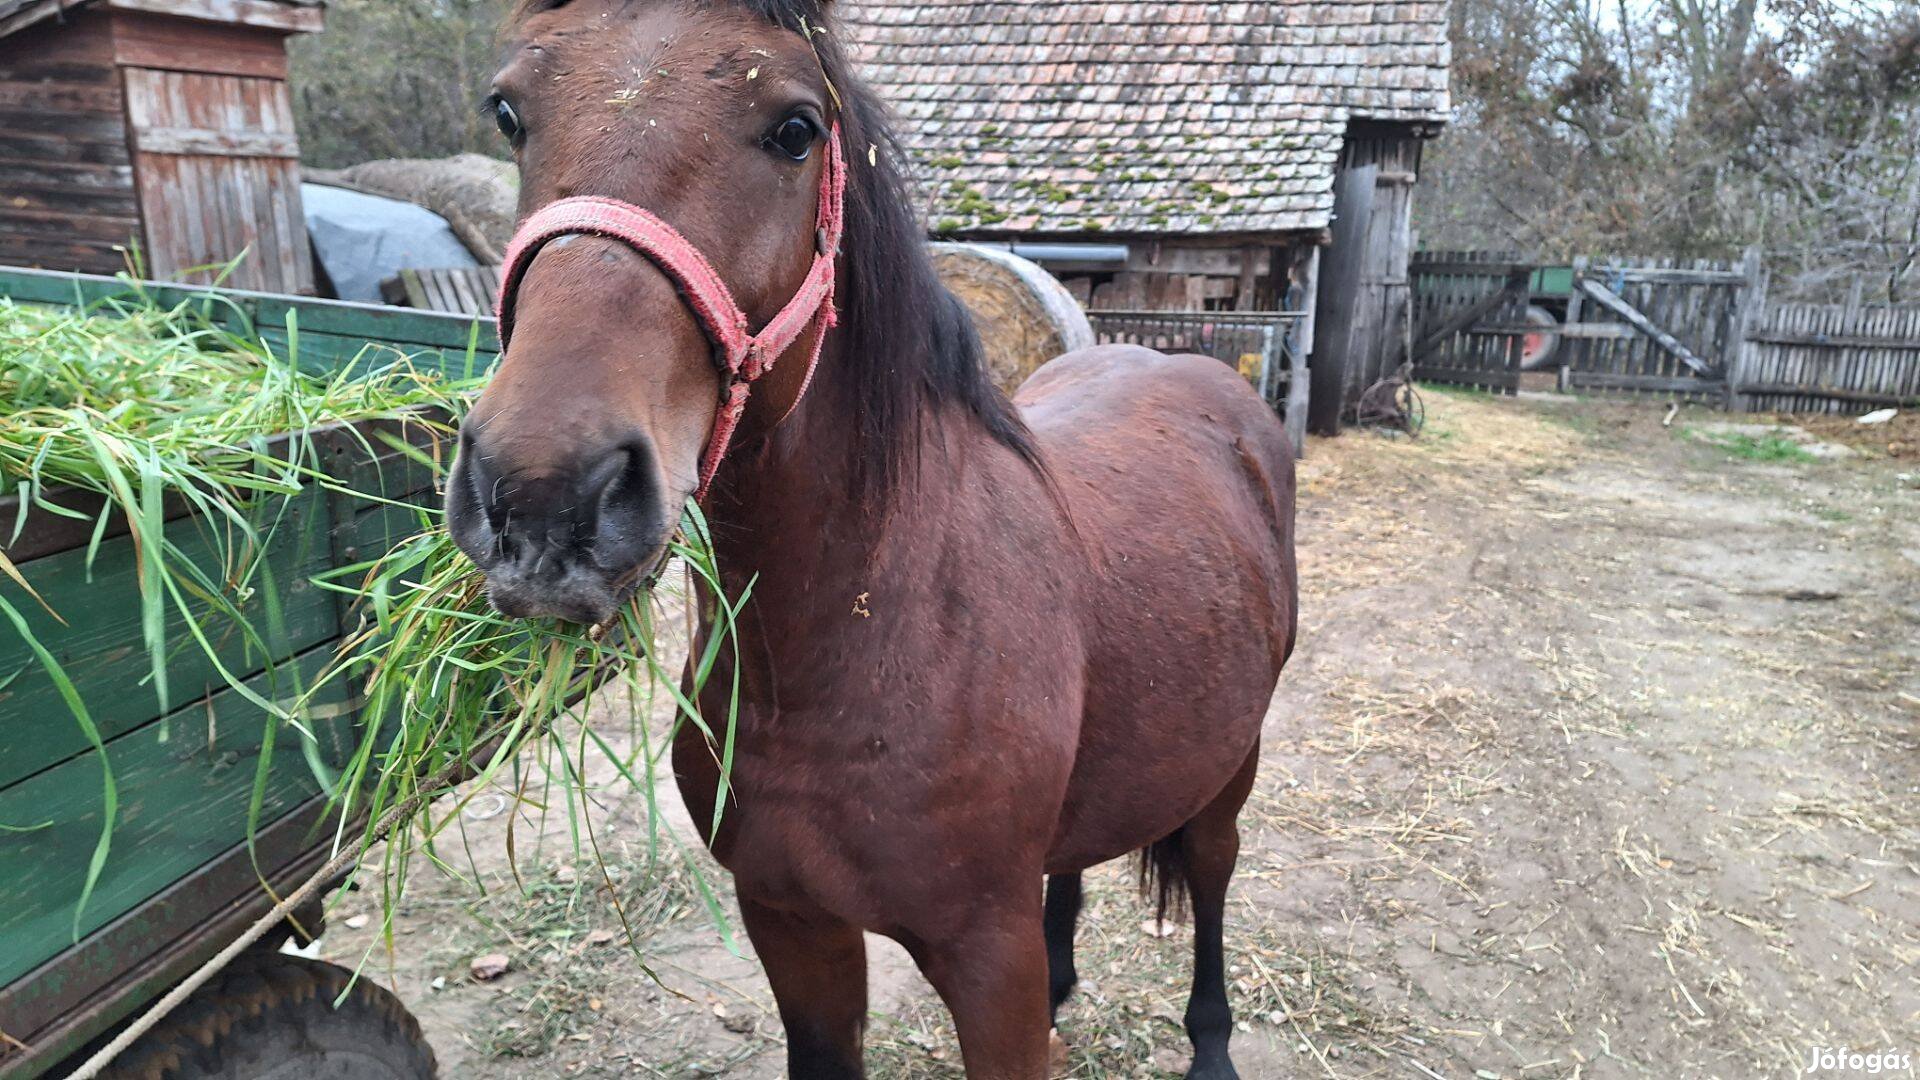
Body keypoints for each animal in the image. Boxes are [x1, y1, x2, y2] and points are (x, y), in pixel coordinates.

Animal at [441, 4, 1297, 1068]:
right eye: (510, 111)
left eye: (795, 129)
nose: (543, 496)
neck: (863, 638)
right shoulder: (791, 926)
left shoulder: (989, 967)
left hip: (1228, 772)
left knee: (1213, 882)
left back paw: (1211, 1043)